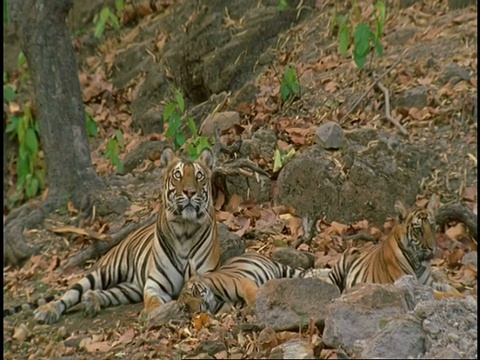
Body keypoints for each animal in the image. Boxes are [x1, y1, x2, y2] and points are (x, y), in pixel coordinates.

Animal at [31, 146, 222, 324]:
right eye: (178, 175)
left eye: (199, 176)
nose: (190, 192)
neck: (185, 230)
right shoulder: (155, 285)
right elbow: (153, 302)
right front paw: (157, 313)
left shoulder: (205, 276)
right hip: (104, 272)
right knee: (70, 293)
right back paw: (47, 311)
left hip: (129, 289)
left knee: (107, 293)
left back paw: (90, 300)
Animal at [177, 250, 308, 316]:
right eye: (186, 307)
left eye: (194, 292)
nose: (198, 310)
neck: (217, 301)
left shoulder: (242, 282)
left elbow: (251, 296)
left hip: (282, 269)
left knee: (300, 273)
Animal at [316, 200, 464, 298]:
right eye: (418, 230)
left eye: (432, 227)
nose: (432, 248)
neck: (417, 264)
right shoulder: (412, 285)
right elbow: (444, 295)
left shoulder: (429, 284)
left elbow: (450, 288)